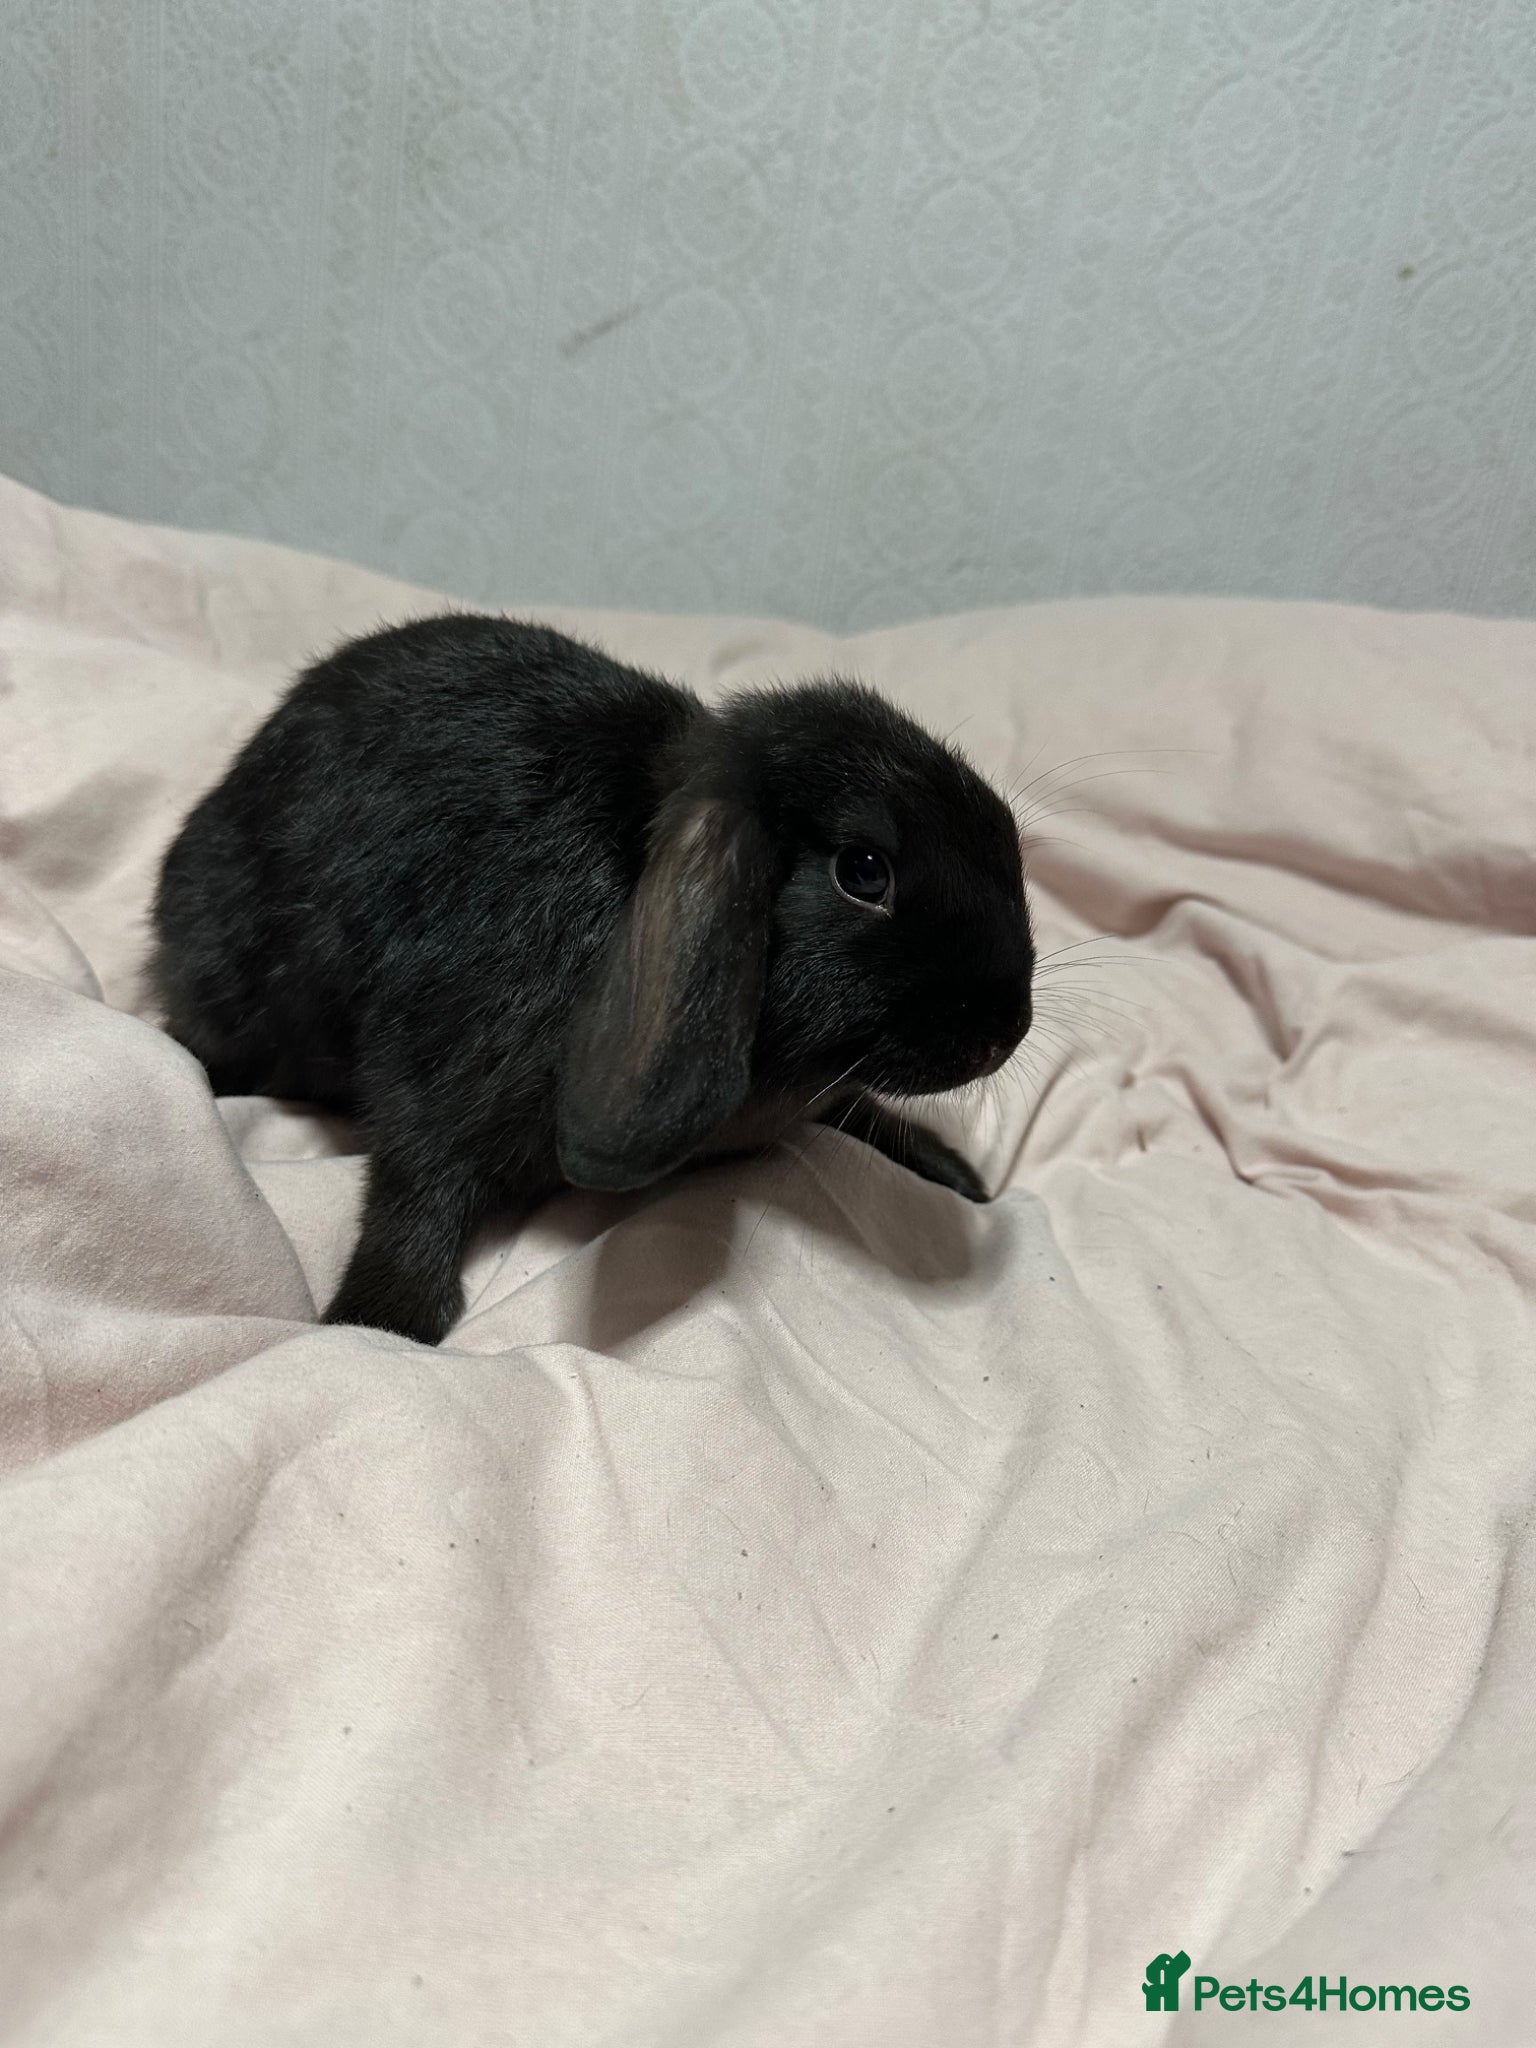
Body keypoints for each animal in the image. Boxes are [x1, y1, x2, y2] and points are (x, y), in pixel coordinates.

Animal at [148, 614, 1035, 1346]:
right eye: (863, 871)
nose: (1004, 1032)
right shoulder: (439, 1066)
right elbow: (415, 1182)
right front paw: (381, 1320)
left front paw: (954, 1172)